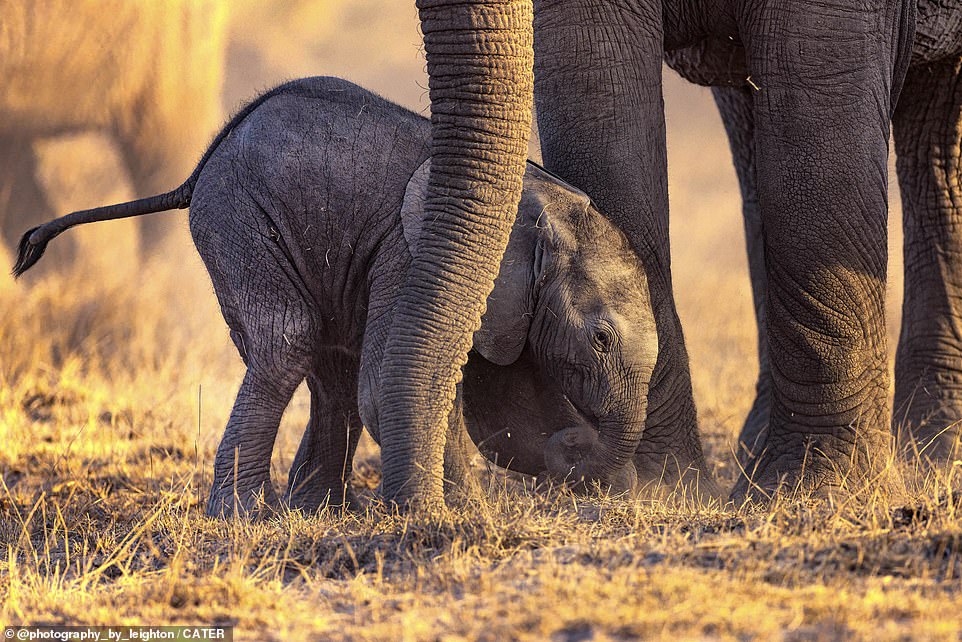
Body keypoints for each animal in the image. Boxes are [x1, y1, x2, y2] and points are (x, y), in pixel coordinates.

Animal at [16, 76, 660, 516]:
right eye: (601, 338)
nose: (584, 443)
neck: (542, 199)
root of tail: (202, 166)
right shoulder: (410, 254)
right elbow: (426, 390)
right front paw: (468, 514)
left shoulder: (507, 307)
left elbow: (506, 412)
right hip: (236, 215)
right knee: (289, 342)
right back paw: (247, 517)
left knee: (333, 369)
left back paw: (317, 511)